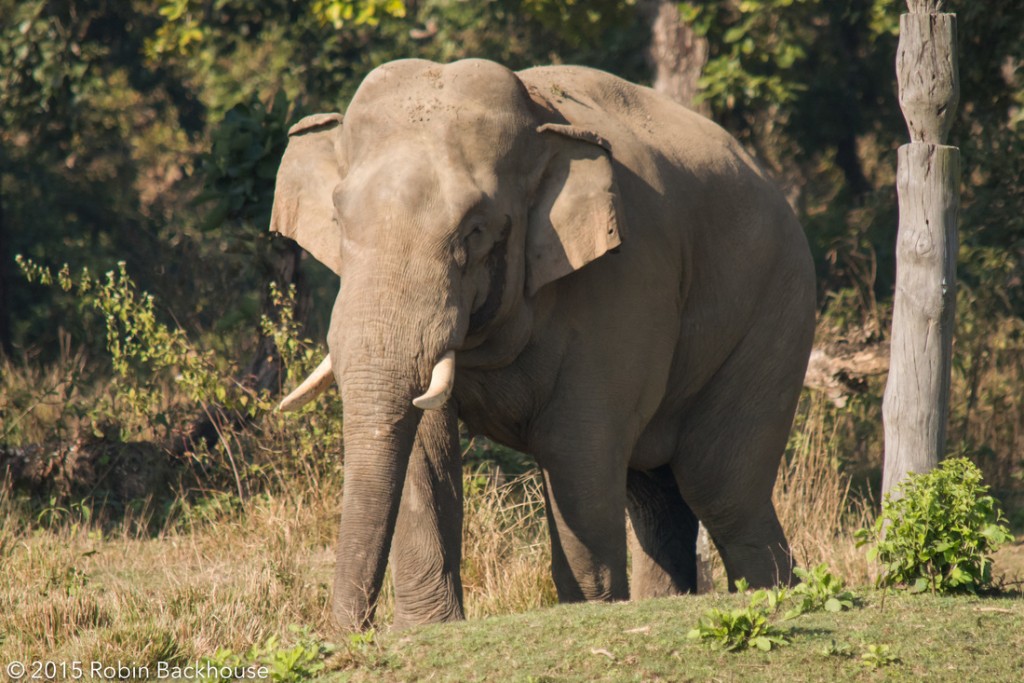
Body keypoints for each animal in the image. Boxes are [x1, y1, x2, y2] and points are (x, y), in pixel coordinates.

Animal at [269, 58, 816, 630]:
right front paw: (426, 630)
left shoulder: (627, 278)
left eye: (475, 230)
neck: (538, 121)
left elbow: (576, 444)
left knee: (720, 488)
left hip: (776, 313)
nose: (353, 631)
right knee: (657, 496)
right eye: (338, 217)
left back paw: (771, 593)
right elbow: (426, 442)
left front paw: (591, 611)